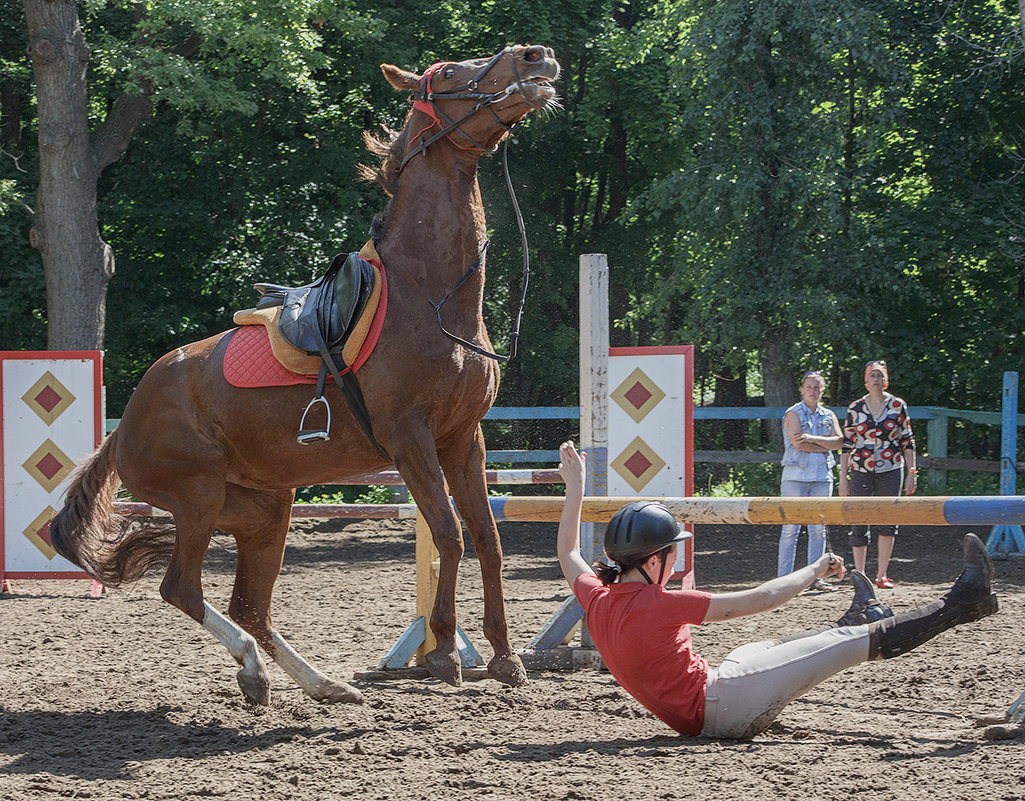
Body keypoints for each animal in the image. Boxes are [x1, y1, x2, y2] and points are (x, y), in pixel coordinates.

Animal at [49, 45, 561, 705]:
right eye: (449, 74)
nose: (536, 57)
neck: (429, 295)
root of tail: (123, 429)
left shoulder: (461, 438)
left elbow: (487, 538)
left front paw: (502, 656)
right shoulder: (410, 438)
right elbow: (448, 533)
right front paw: (445, 651)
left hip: (264, 509)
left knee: (249, 606)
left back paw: (318, 684)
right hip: (197, 498)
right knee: (182, 589)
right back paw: (260, 668)